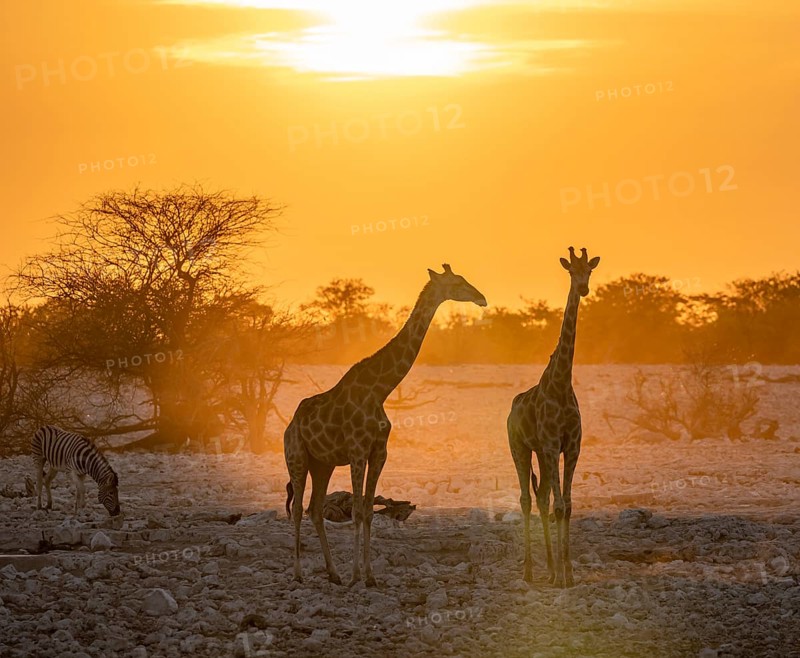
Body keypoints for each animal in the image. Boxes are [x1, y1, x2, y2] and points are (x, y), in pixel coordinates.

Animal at [284, 264, 487, 586]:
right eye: (457, 282)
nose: (482, 299)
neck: (380, 389)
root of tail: (290, 425)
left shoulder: (379, 451)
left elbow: (368, 510)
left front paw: (368, 576)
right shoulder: (357, 450)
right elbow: (356, 510)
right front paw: (356, 575)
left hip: (322, 464)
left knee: (314, 509)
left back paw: (333, 574)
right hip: (297, 457)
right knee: (297, 509)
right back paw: (299, 574)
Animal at [507, 246, 599, 588]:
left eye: (590, 270)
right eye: (571, 271)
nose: (583, 288)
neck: (561, 383)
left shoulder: (571, 447)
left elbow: (567, 507)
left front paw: (568, 574)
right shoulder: (550, 445)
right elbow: (559, 506)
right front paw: (561, 576)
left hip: (541, 455)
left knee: (543, 497)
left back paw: (548, 568)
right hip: (520, 448)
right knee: (526, 498)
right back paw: (529, 572)